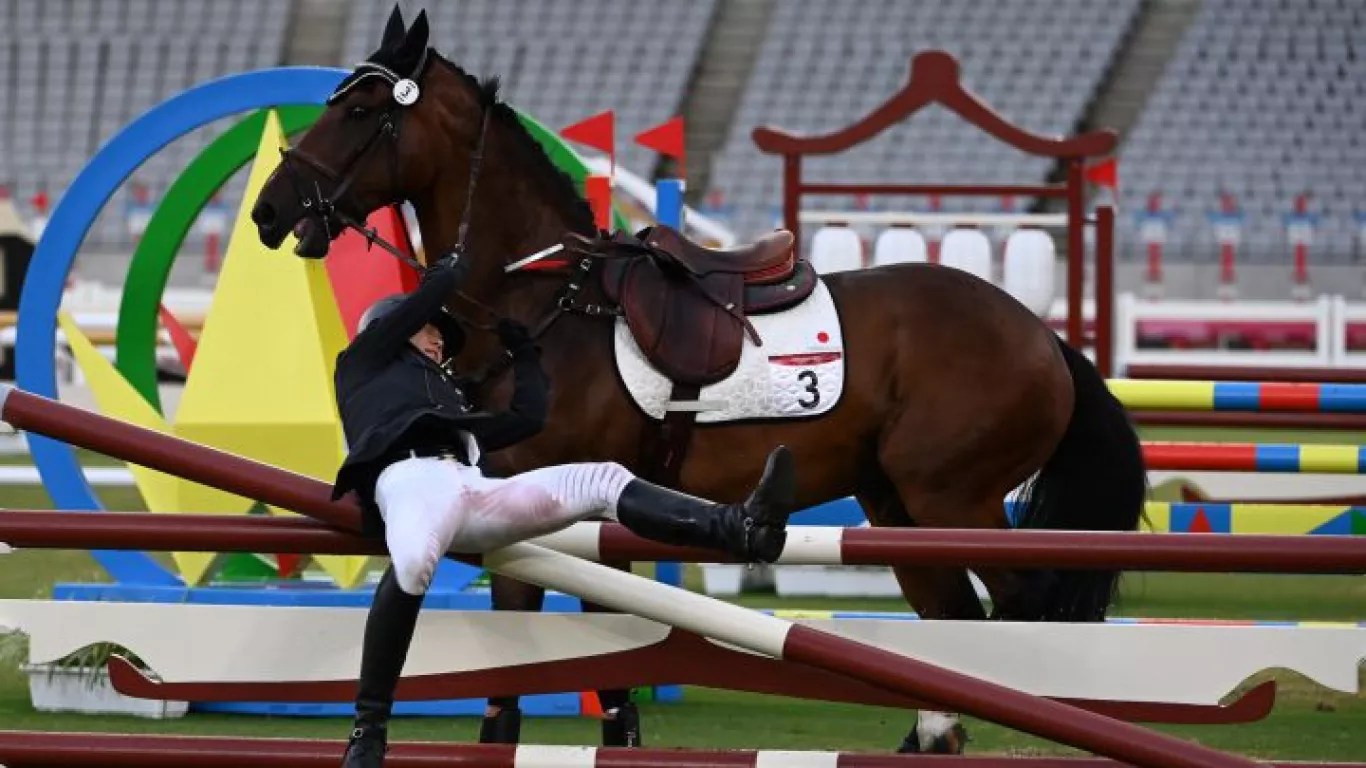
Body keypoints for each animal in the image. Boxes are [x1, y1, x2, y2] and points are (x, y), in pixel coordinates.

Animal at [249, 7, 1147, 755]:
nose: (268, 209)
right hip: (898, 507)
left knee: (1025, 612)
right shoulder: (531, 520)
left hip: (953, 502)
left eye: (360, 112)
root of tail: (1043, 335)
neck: (550, 296)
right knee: (954, 626)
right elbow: (546, 680)